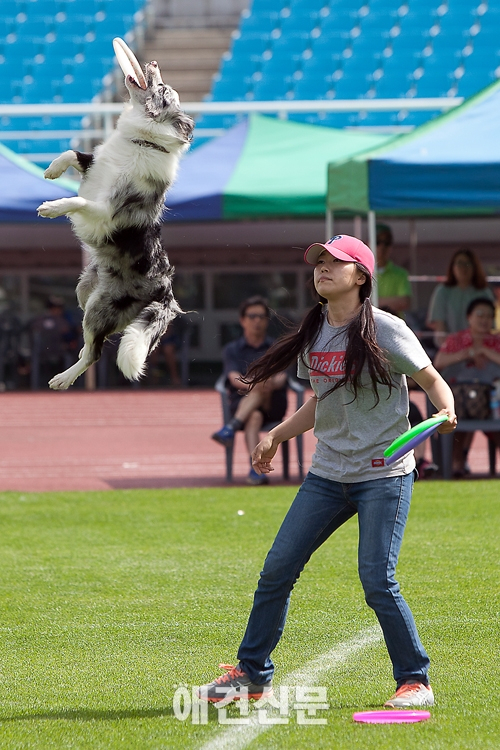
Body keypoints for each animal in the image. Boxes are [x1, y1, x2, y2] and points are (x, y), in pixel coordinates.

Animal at [36, 44, 193, 390]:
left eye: (162, 90)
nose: (153, 62)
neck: (142, 142)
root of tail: (166, 295)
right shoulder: (94, 167)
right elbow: (73, 154)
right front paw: (52, 169)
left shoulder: (108, 211)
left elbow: (78, 199)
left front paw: (52, 207)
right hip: (85, 290)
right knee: (90, 346)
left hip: (99, 309)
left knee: (95, 352)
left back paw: (63, 379)